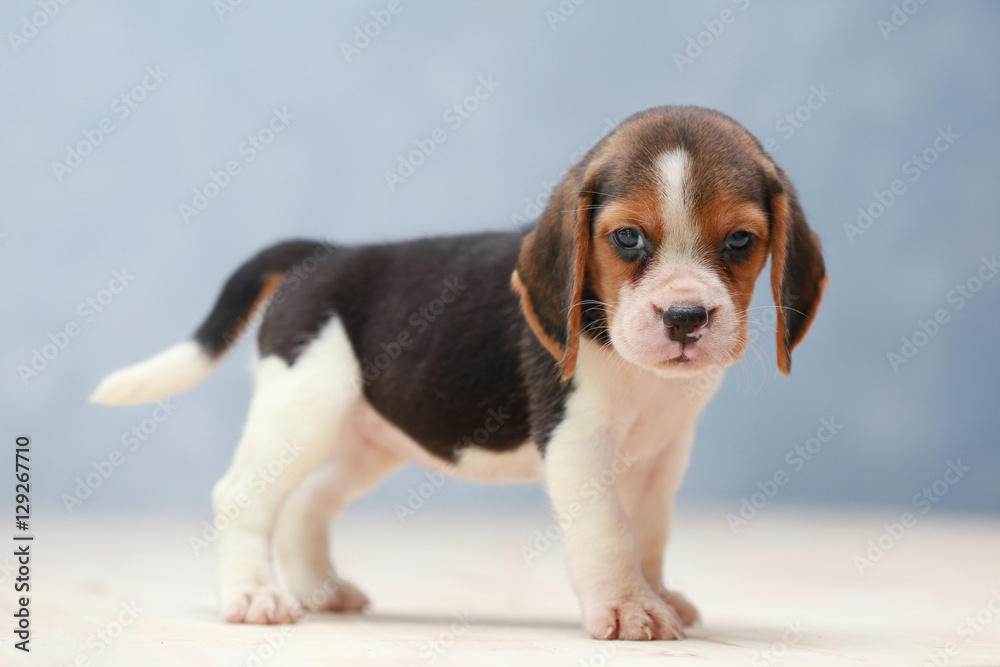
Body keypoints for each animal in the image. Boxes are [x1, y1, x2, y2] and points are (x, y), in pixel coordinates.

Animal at [92, 105, 828, 640]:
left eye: (740, 241)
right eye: (627, 238)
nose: (685, 317)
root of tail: (318, 256)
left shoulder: (662, 453)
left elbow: (648, 532)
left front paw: (658, 594)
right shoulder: (579, 447)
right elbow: (610, 533)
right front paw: (627, 607)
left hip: (366, 438)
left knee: (306, 502)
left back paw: (322, 590)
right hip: (301, 411)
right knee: (241, 497)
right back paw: (252, 594)